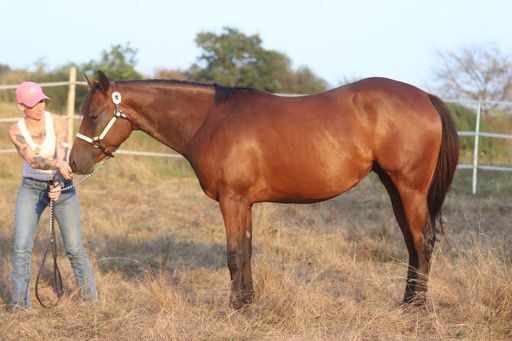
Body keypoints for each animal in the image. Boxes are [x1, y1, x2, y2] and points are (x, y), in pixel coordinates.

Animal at [69, 70, 460, 306]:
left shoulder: (231, 200)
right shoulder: (245, 203)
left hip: (409, 188)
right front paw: (248, 301)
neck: (210, 120)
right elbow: (246, 250)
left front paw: (236, 307)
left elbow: (233, 253)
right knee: (412, 243)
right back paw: (407, 299)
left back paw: (416, 305)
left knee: (423, 241)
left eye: (93, 115)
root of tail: (425, 96)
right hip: (395, 188)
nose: (73, 164)